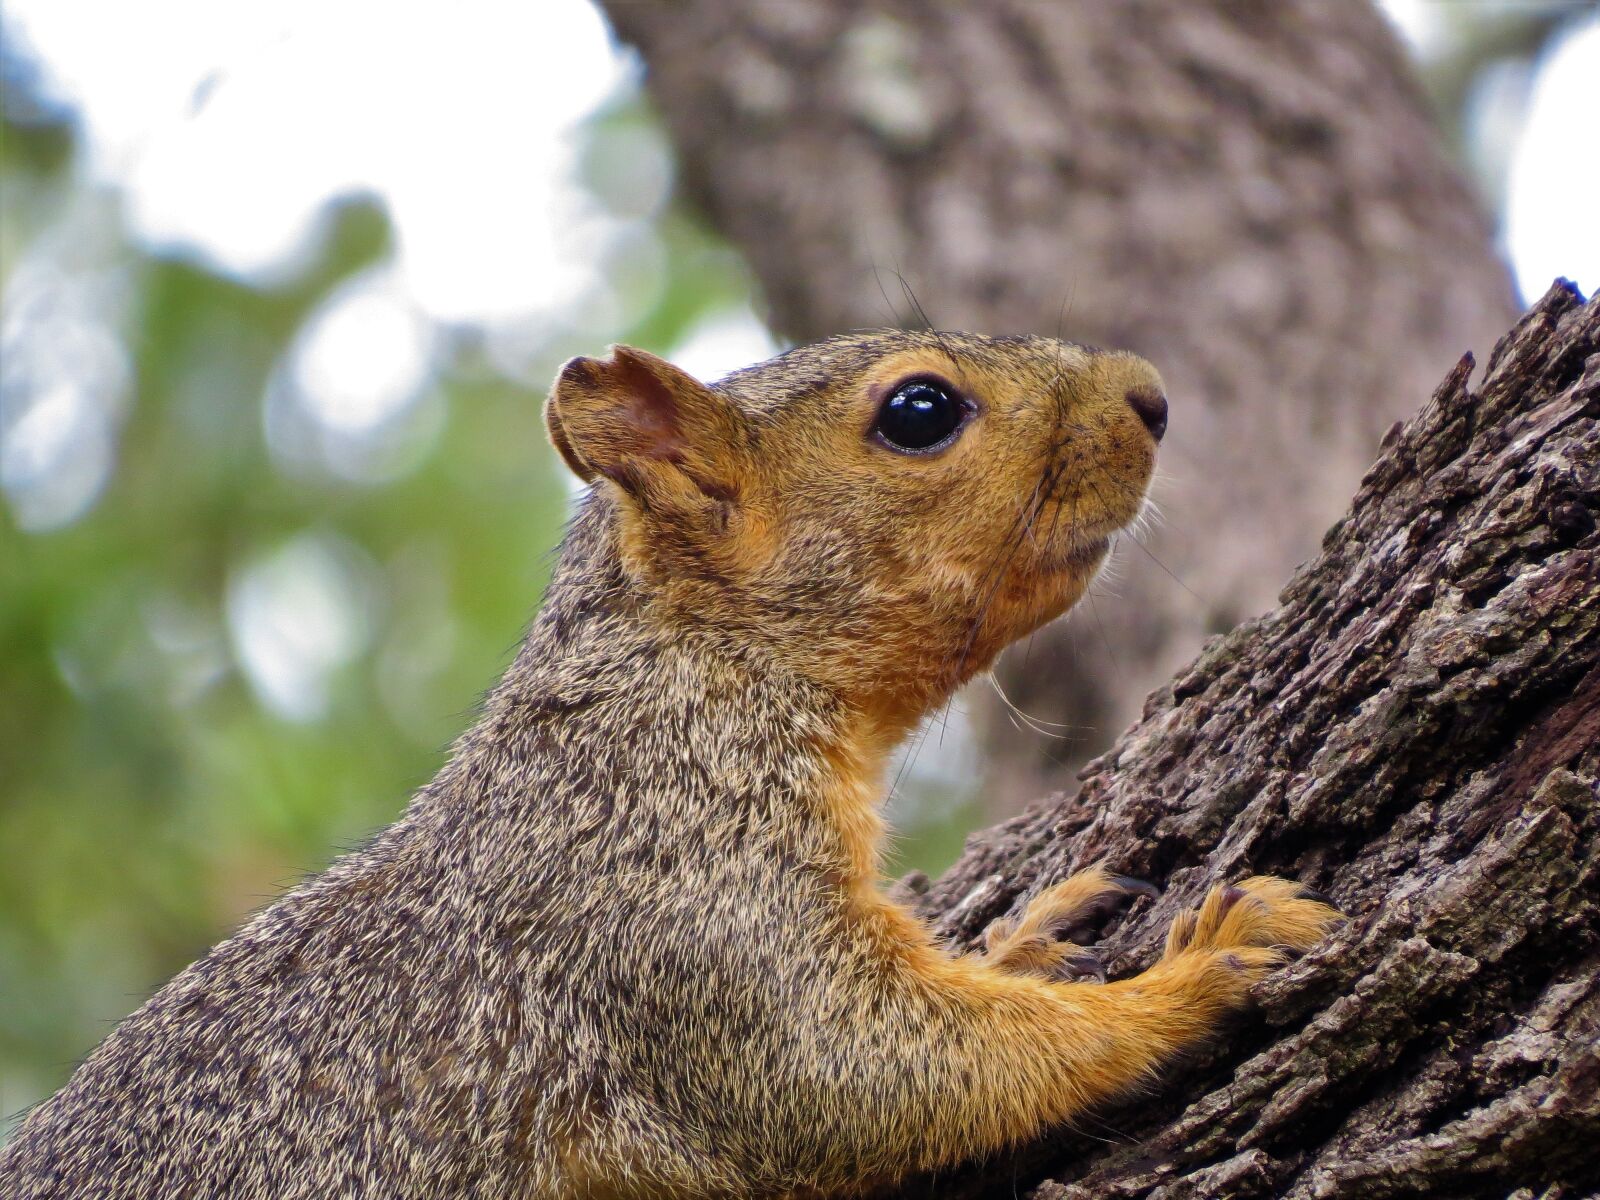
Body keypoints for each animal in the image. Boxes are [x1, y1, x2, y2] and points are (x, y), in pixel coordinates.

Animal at [0, 331, 1338, 1198]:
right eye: (919, 411)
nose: (1150, 394)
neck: (693, 675)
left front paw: (1020, 940)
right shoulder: (669, 887)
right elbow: (853, 1069)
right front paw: (1194, 974)